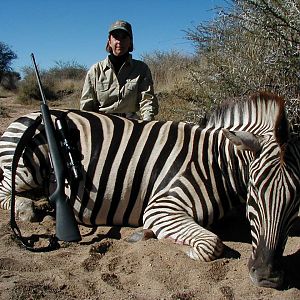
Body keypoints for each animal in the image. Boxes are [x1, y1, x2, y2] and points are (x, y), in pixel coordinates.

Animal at [0, 92, 298, 288]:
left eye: (297, 202)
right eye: (254, 190)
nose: (267, 278)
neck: (215, 161)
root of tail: (23, 117)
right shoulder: (162, 207)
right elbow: (211, 244)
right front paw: (158, 239)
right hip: (26, 168)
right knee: (7, 192)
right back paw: (28, 210)